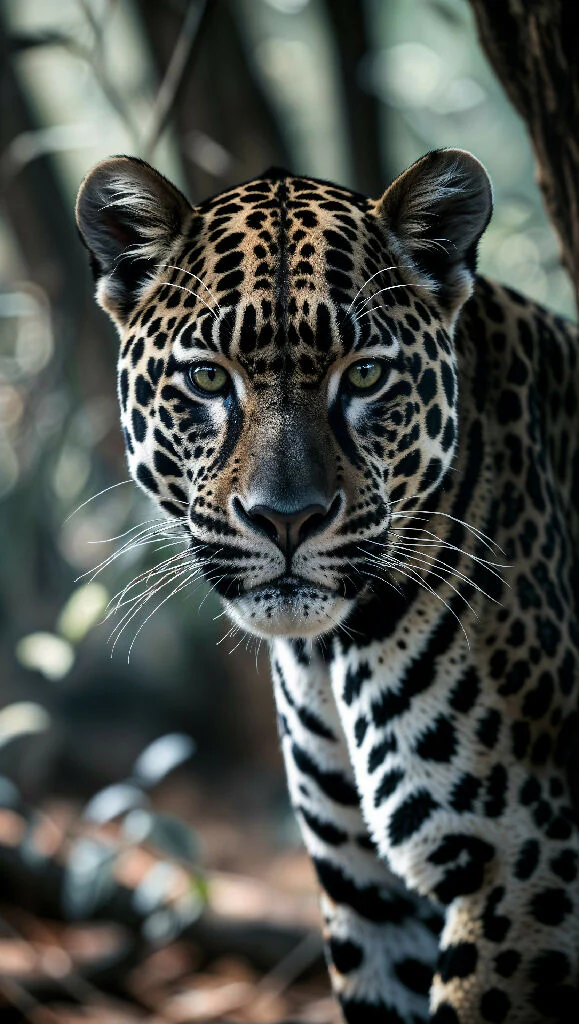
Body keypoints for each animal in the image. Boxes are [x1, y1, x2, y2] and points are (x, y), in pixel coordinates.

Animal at [76, 148, 579, 1023]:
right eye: (208, 379)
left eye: (367, 374)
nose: (287, 518)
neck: (331, 653)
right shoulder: (363, 887)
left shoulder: (522, 856)